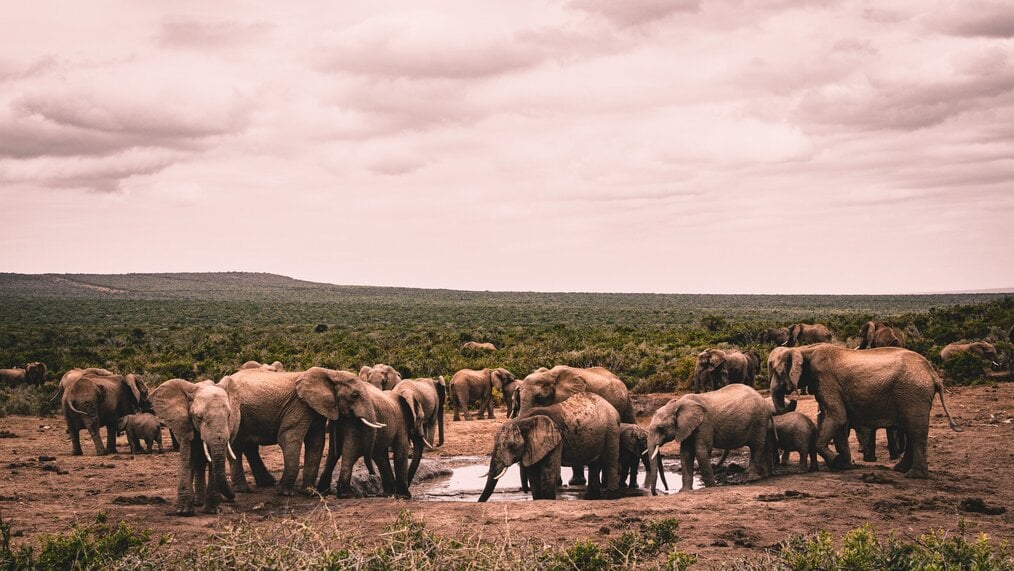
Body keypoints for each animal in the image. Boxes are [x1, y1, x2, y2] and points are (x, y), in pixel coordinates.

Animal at [150, 378, 242, 515]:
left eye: (229, 415)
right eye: (199, 417)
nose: (233, 495)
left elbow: (213, 463)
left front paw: (211, 511)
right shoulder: (186, 425)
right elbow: (188, 458)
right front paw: (183, 512)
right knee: (197, 463)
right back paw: (197, 502)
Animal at [227, 366, 342, 495]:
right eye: (353, 396)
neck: (330, 373)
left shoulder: (315, 410)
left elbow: (316, 442)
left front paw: (309, 492)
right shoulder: (299, 405)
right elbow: (288, 438)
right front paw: (284, 493)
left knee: (249, 447)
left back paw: (267, 483)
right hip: (237, 414)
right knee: (237, 446)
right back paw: (243, 489)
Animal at [478, 392, 621, 501]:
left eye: (512, 446)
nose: (479, 502)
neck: (523, 420)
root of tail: (611, 407)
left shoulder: (555, 441)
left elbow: (548, 471)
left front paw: (548, 500)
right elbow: (533, 474)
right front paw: (538, 500)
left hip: (612, 429)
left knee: (610, 461)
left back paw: (610, 496)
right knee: (594, 465)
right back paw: (591, 498)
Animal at [768, 344, 962, 478]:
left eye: (777, 372)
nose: (793, 399)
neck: (804, 349)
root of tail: (933, 373)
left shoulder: (825, 379)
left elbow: (837, 416)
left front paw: (836, 461)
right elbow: (839, 420)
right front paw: (844, 465)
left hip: (913, 393)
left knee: (916, 431)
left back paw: (914, 475)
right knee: (910, 430)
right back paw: (900, 469)